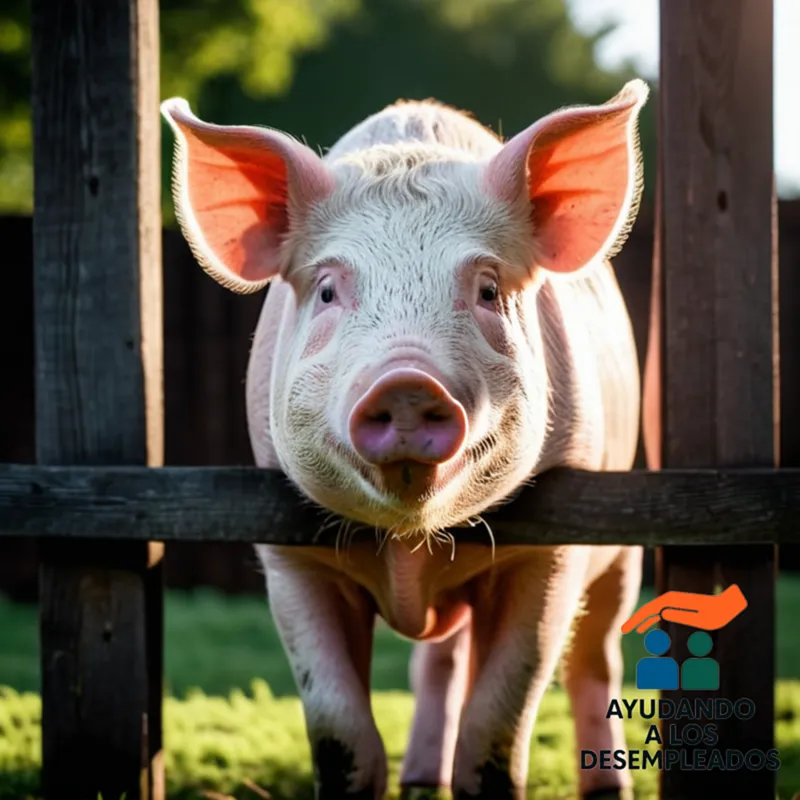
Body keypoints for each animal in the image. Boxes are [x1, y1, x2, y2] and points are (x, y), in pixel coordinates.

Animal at [162, 78, 649, 800]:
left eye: (488, 288)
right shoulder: (290, 553)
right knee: (438, 662)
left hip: (621, 541)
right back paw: (420, 776)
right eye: (328, 290)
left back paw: (606, 787)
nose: (406, 382)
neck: (406, 545)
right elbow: (341, 732)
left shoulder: (550, 550)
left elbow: (497, 725)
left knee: (598, 658)